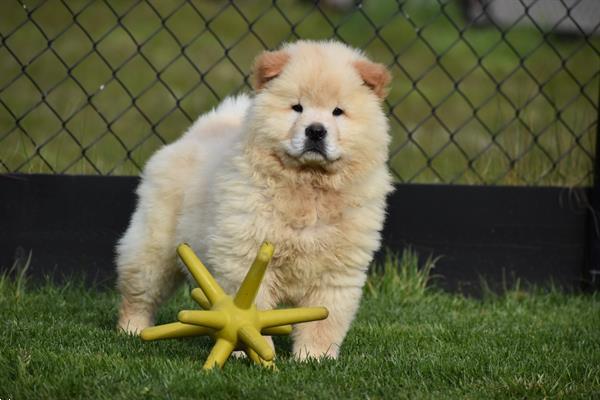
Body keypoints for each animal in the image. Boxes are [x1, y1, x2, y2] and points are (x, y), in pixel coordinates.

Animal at [116, 40, 394, 360]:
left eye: (338, 112)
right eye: (297, 107)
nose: (315, 130)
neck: (308, 185)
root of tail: (195, 133)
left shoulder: (337, 269)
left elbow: (324, 321)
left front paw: (314, 358)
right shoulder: (247, 254)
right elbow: (250, 309)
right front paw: (251, 351)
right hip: (154, 249)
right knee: (138, 293)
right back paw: (131, 330)